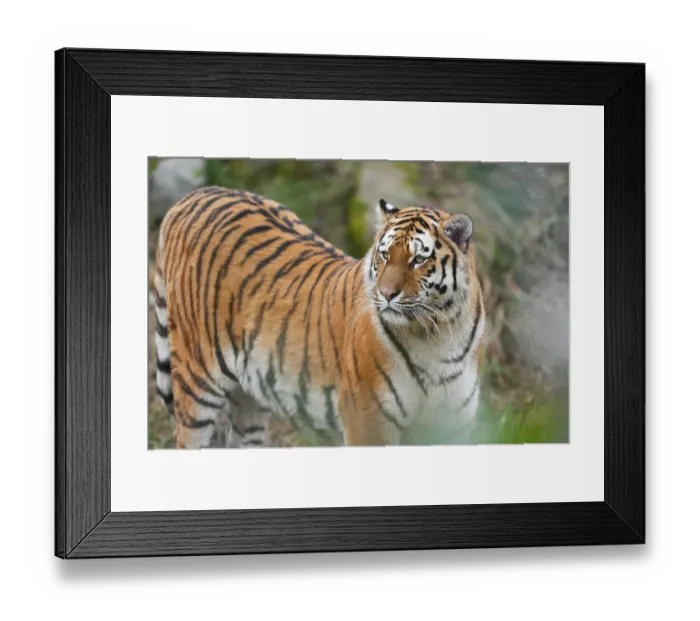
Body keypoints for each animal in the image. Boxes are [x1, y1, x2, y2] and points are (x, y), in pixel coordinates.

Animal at [152, 185, 485, 449]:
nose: (386, 294)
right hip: (197, 382)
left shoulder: (453, 427)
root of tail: (194, 196)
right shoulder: (368, 421)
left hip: (248, 402)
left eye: (418, 260)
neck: (435, 336)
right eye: (384, 255)